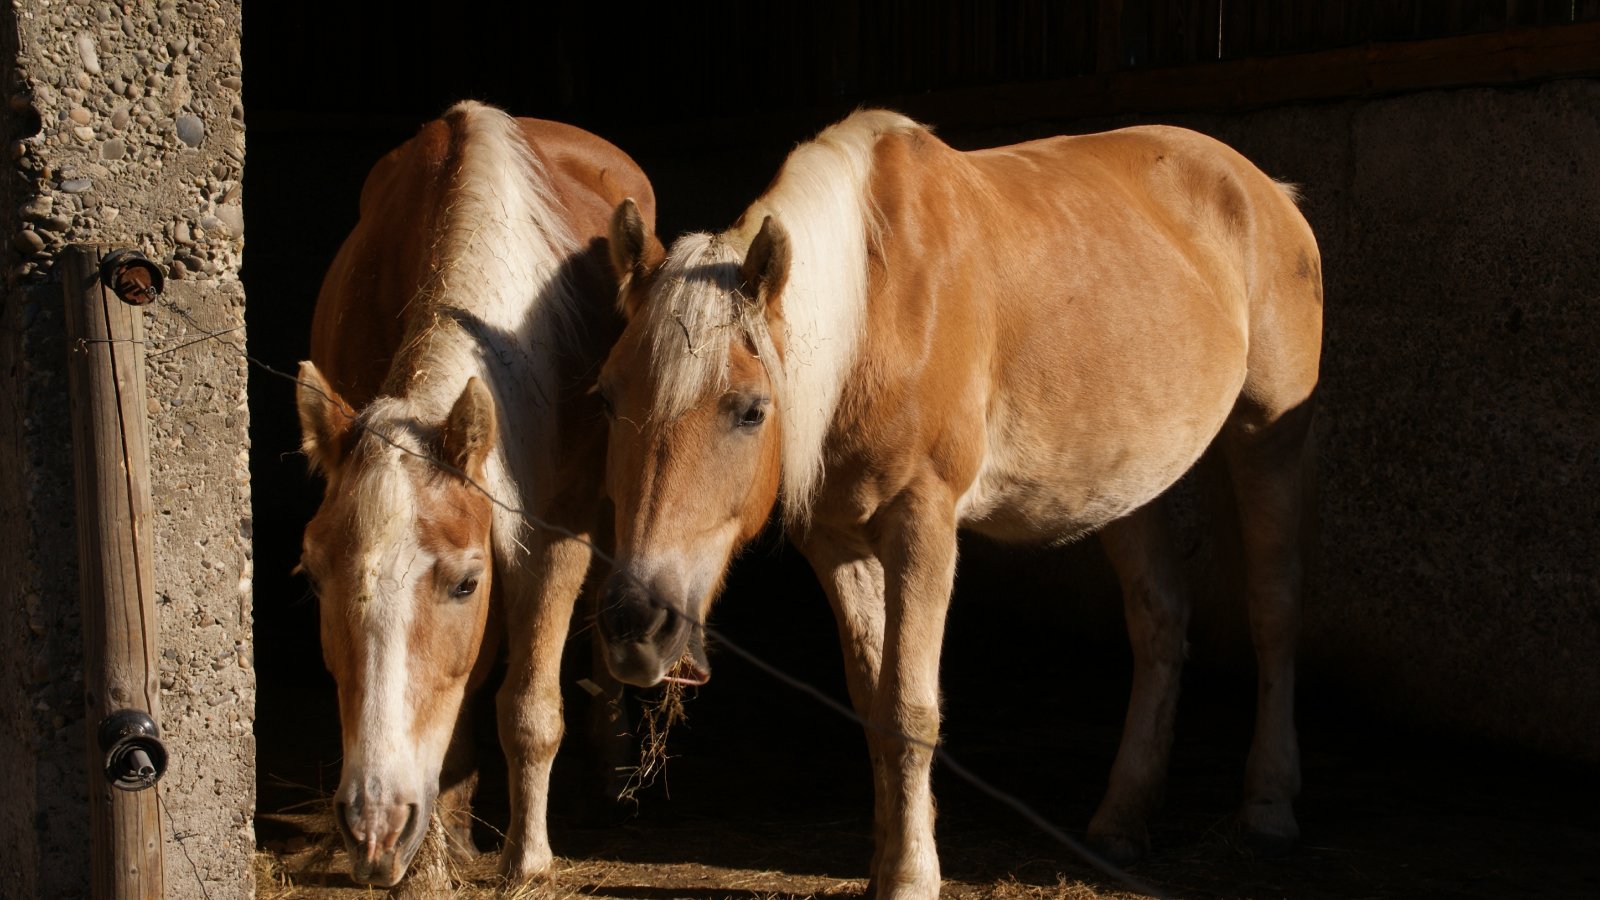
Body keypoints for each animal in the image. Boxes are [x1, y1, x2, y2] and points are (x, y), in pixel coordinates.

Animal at [293, 100, 657, 887]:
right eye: (314, 579)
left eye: (465, 585)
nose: (372, 825)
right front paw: (439, 848)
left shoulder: (554, 539)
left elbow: (529, 708)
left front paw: (528, 859)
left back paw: (612, 776)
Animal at [594, 109, 1321, 897]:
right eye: (605, 399)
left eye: (752, 410)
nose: (637, 627)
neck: (873, 309)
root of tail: (1264, 190)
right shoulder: (837, 539)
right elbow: (872, 698)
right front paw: (885, 863)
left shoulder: (923, 525)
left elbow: (911, 705)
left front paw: (913, 875)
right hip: (1131, 483)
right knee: (1159, 623)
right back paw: (1122, 820)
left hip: (1267, 437)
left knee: (1274, 609)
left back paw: (1271, 808)